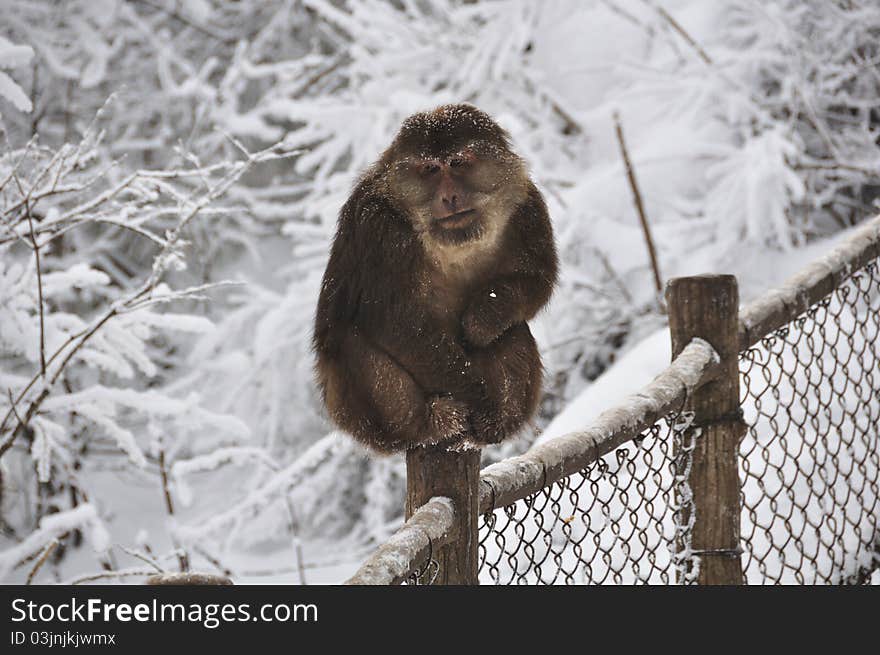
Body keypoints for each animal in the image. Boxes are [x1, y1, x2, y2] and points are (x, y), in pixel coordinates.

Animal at [314, 105, 556, 454]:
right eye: (429, 169)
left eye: (457, 163)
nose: (450, 196)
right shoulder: (378, 228)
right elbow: (395, 321)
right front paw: (478, 399)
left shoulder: (528, 206)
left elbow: (536, 278)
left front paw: (482, 318)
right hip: (359, 417)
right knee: (351, 339)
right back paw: (431, 424)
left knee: (512, 328)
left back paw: (497, 422)